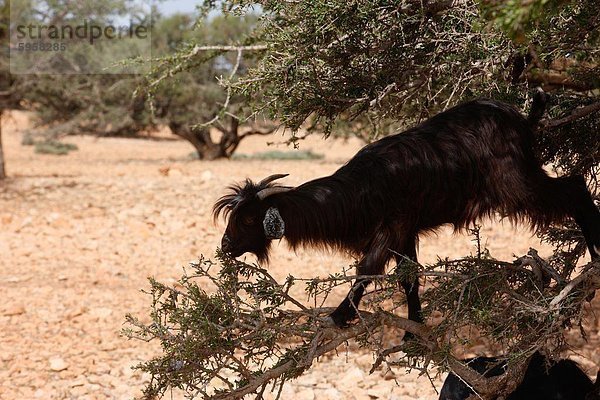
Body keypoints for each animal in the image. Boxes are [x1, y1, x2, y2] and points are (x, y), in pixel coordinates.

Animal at [213, 94, 600, 328]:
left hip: (516, 182)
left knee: (574, 188)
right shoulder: (406, 233)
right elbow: (408, 277)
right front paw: (414, 328)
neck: (357, 191)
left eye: (248, 218)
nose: (225, 246)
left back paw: (595, 253)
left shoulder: (392, 227)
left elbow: (367, 270)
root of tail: (520, 120)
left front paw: (340, 316)